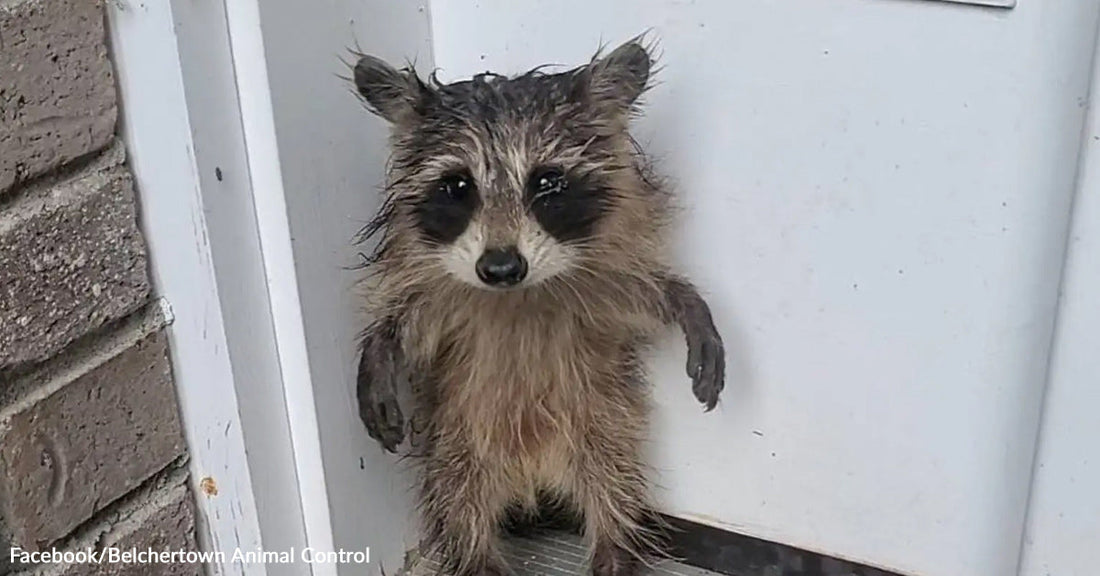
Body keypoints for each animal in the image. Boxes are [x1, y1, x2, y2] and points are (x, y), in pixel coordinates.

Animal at [352, 37, 726, 576]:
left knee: (614, 481)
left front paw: (688, 303)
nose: (501, 267)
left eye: (547, 183)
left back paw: (615, 548)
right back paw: (478, 559)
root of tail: (534, 478)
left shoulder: (602, 284)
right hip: (458, 434)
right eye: (458, 187)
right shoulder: (441, 295)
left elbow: (646, 292)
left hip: (600, 417)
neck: (519, 296)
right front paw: (378, 350)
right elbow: (407, 320)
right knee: (457, 496)